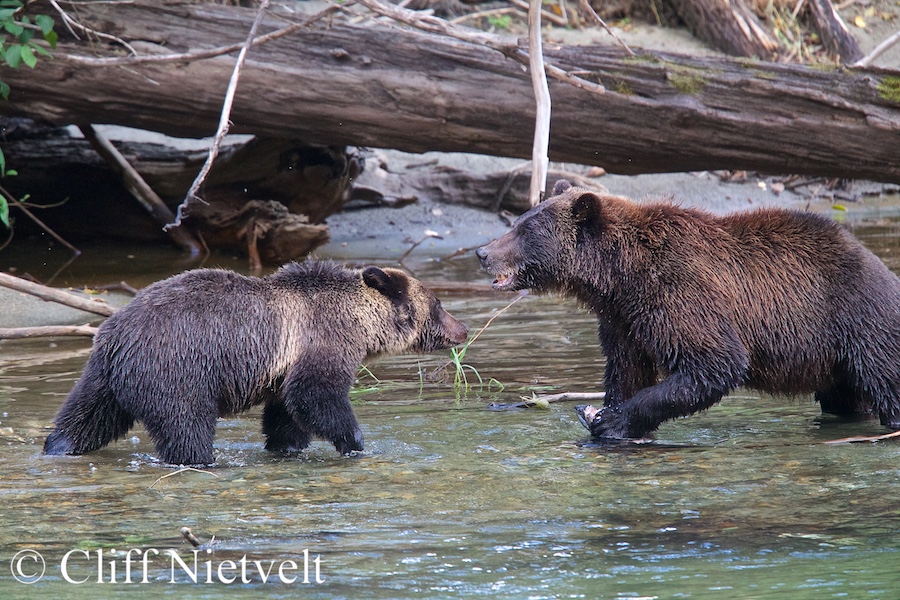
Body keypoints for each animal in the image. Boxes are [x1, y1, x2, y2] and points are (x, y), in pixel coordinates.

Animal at [43, 262, 468, 464]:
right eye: (439, 303)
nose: (462, 329)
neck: (360, 323)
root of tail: (114, 335)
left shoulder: (284, 366)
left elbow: (287, 414)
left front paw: (288, 446)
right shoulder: (321, 339)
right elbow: (317, 395)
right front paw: (354, 441)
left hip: (103, 378)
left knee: (85, 418)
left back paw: (58, 446)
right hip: (177, 369)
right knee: (186, 428)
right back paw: (200, 460)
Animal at [478, 180, 900, 438]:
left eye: (526, 231)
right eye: (517, 221)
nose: (482, 252)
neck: (619, 276)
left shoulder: (677, 293)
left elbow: (713, 362)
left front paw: (615, 420)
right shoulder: (622, 318)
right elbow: (627, 368)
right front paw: (606, 418)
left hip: (859, 324)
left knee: (888, 384)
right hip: (836, 360)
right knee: (846, 398)